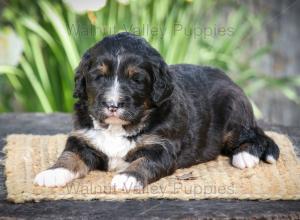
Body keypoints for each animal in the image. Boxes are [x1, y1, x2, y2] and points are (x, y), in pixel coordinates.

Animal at [34, 31, 280, 190]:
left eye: (136, 79)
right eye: (99, 76)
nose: (113, 105)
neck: (117, 128)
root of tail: (229, 79)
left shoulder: (161, 147)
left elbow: (144, 162)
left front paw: (128, 178)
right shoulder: (82, 139)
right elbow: (69, 156)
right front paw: (52, 173)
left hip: (234, 114)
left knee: (255, 136)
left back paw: (245, 156)